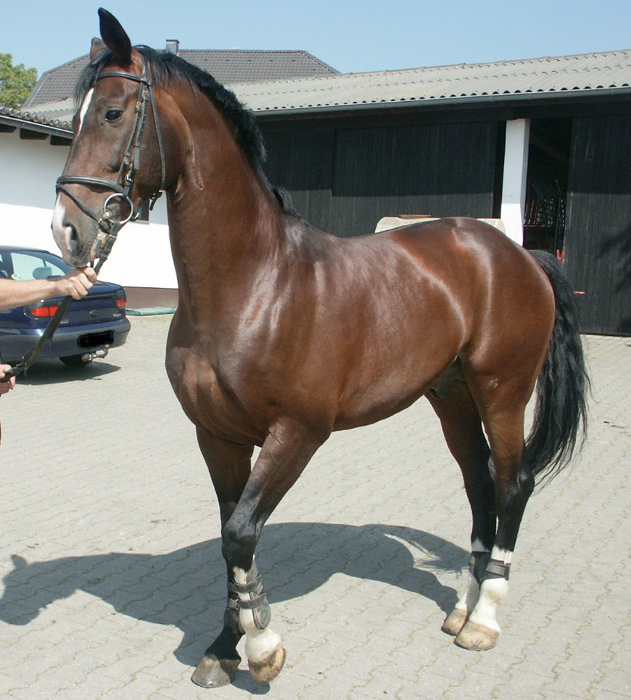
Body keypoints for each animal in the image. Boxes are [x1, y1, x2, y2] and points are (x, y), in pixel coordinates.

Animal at [51, 8, 592, 688]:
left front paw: (262, 646)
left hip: (502, 391)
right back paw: (462, 610)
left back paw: (486, 620)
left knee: (513, 483)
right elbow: (230, 534)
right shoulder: (217, 435)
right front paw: (225, 645)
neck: (254, 285)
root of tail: (517, 253)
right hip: (452, 397)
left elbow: (241, 532)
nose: (67, 230)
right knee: (480, 485)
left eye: (112, 113)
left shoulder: (298, 432)